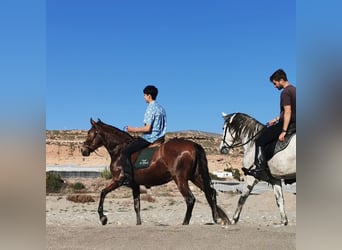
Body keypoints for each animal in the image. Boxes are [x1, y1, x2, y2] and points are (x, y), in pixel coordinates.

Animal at [80, 118, 230, 226]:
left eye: (89, 133)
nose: (83, 150)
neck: (119, 150)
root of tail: (194, 145)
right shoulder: (135, 185)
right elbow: (137, 205)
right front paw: (138, 224)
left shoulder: (118, 180)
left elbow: (102, 193)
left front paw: (103, 218)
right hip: (196, 177)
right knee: (211, 193)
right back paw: (218, 218)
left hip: (180, 179)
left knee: (190, 199)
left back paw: (185, 223)